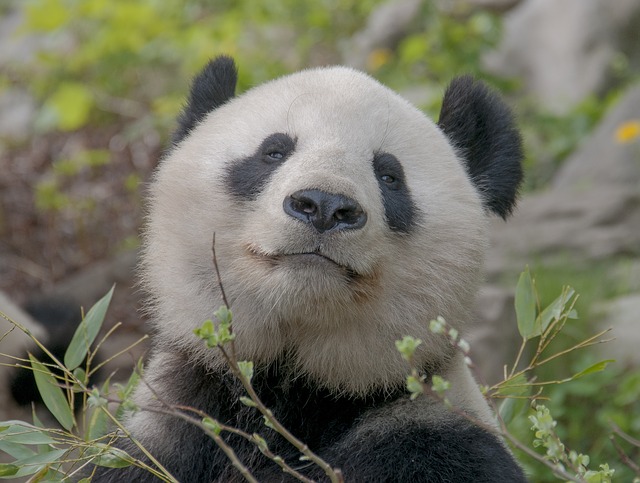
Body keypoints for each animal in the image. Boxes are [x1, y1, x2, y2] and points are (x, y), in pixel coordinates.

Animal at [92, 56, 526, 482]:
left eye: (390, 175)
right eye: (273, 151)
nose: (324, 206)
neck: (296, 385)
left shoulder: (432, 437)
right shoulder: (172, 425)